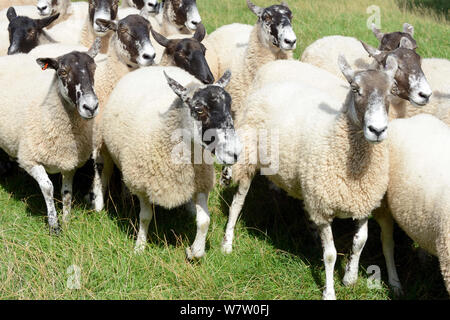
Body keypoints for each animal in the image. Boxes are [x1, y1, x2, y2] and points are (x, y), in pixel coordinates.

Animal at [0, 40, 100, 235]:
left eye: (94, 68)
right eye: (62, 72)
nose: (91, 107)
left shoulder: (69, 162)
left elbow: (66, 192)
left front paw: (66, 222)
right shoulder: (30, 159)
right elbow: (48, 187)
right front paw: (54, 226)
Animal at [89, 66, 241, 258]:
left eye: (229, 106)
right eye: (199, 110)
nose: (234, 153)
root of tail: (150, 67)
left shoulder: (201, 183)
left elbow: (204, 220)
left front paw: (194, 251)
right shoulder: (143, 186)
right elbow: (145, 217)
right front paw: (139, 247)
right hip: (106, 146)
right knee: (105, 171)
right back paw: (99, 203)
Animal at [221, 55, 398, 300]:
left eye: (392, 89)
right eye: (355, 89)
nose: (377, 130)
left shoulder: (362, 201)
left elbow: (360, 241)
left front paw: (350, 277)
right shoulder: (322, 207)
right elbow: (331, 254)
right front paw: (329, 292)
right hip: (248, 157)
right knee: (237, 203)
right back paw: (227, 243)